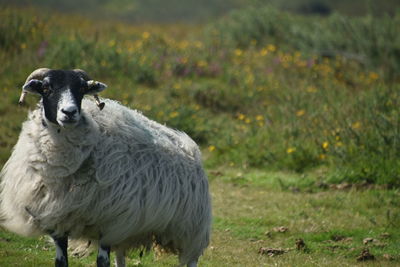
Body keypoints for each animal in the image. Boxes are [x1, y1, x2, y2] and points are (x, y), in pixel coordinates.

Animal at [0, 68, 212, 267]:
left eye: (81, 89)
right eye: (46, 88)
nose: (69, 112)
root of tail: (188, 144)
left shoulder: (109, 223)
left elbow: (102, 262)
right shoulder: (57, 223)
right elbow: (61, 261)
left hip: (191, 227)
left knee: (192, 258)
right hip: (128, 229)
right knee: (120, 256)